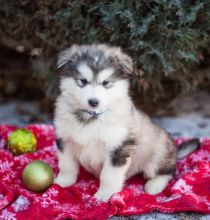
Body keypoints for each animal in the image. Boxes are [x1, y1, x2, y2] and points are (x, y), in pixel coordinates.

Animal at [54, 43, 199, 202]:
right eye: (83, 81)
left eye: (106, 83)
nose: (93, 102)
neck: (91, 117)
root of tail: (174, 153)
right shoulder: (65, 140)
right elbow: (66, 165)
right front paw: (62, 182)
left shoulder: (119, 147)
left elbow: (109, 176)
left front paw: (105, 194)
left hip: (157, 157)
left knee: (169, 172)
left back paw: (154, 185)